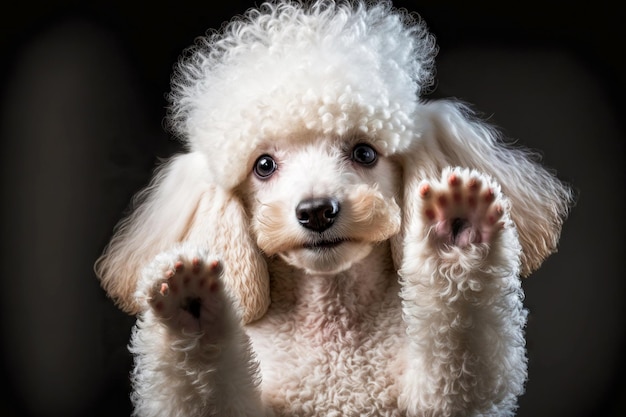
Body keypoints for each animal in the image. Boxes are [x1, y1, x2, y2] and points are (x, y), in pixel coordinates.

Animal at [95, 1, 572, 414]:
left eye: (364, 153)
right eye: (263, 166)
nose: (316, 211)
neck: (333, 325)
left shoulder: (438, 394)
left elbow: (459, 362)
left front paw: (458, 237)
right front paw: (190, 312)